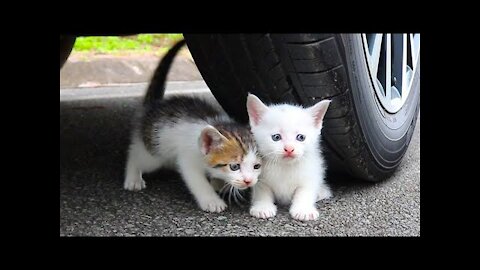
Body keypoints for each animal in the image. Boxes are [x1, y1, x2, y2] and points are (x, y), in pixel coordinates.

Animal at [122, 40, 260, 213]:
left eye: (256, 166)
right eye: (234, 166)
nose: (249, 181)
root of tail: (153, 106)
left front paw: (218, 182)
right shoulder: (188, 159)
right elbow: (197, 181)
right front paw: (212, 201)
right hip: (156, 153)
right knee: (136, 153)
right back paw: (133, 177)